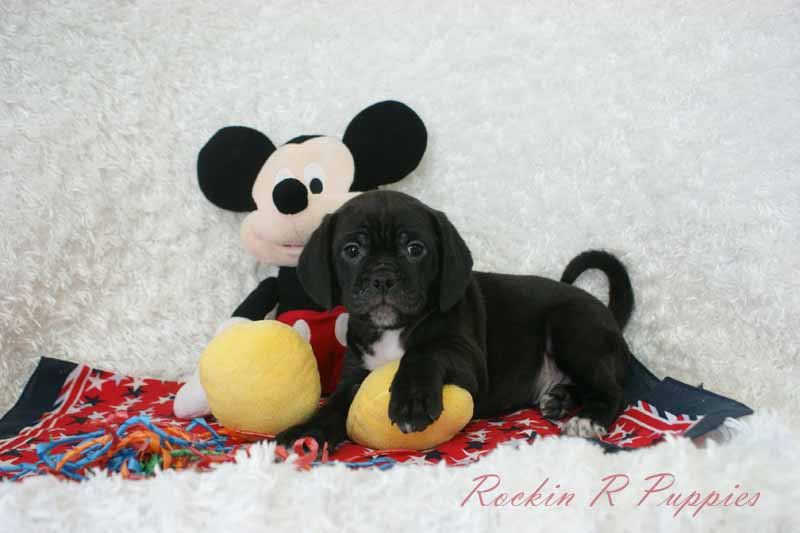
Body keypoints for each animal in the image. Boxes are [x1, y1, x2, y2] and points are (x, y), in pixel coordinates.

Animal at [275, 190, 634, 450]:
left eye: (415, 249)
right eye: (351, 250)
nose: (382, 278)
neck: (394, 328)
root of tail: (609, 314)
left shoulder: (468, 361)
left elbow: (425, 351)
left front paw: (412, 401)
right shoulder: (355, 375)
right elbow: (333, 407)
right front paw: (306, 431)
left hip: (571, 328)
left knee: (613, 388)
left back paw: (589, 419)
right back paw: (558, 399)